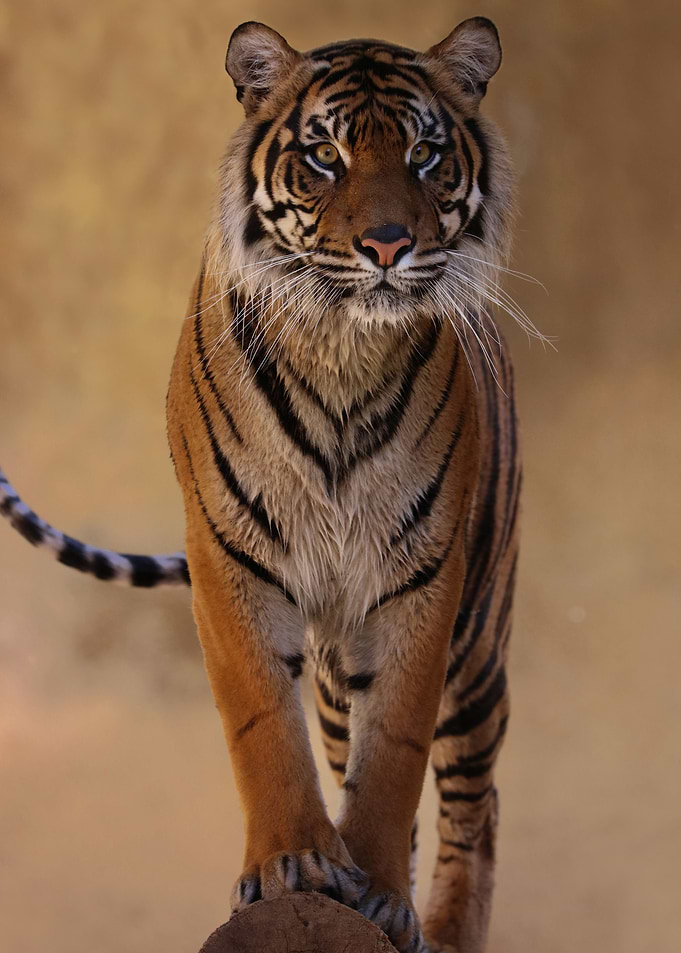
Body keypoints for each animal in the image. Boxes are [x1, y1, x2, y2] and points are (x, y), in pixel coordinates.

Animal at [1, 16, 522, 953]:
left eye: (425, 153)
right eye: (324, 155)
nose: (387, 246)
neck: (344, 347)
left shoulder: (423, 577)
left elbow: (397, 743)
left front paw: (376, 889)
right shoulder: (229, 558)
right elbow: (260, 721)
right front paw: (297, 865)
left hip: (478, 638)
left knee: (475, 799)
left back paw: (437, 926)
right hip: (336, 670)